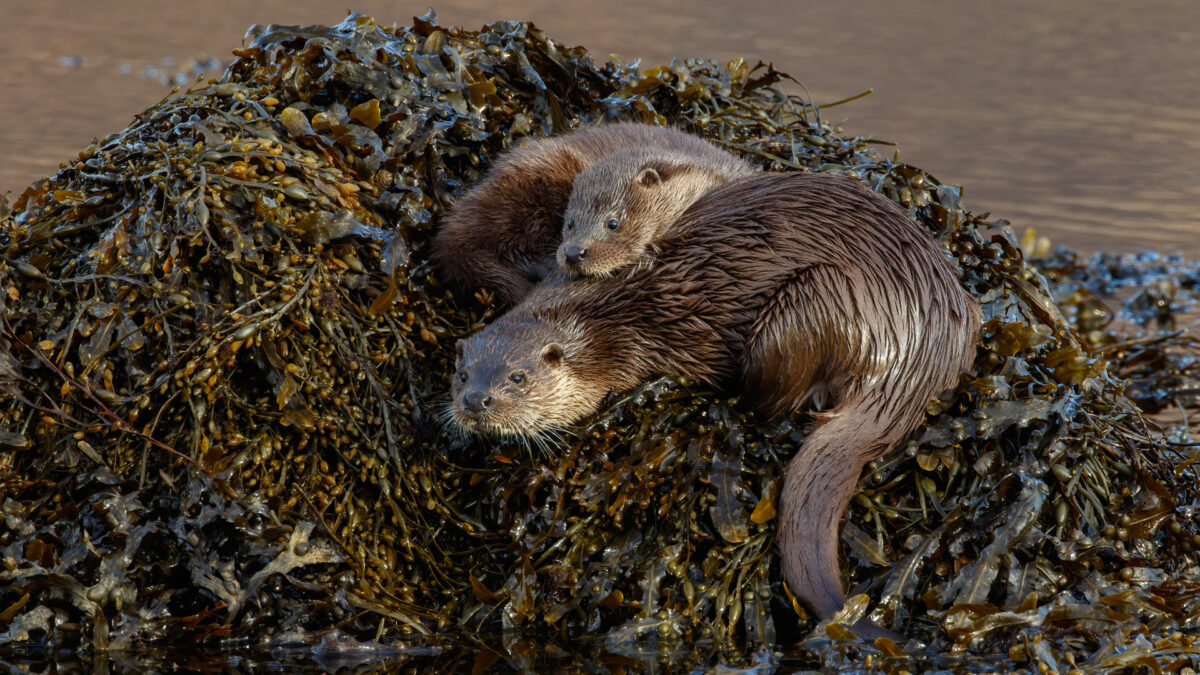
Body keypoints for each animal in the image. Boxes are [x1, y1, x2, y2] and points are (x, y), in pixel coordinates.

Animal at [451, 172, 981, 631]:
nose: (476, 401)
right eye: (461, 375)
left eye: (518, 377)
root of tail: (922, 346)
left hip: (814, 302)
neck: (601, 323)